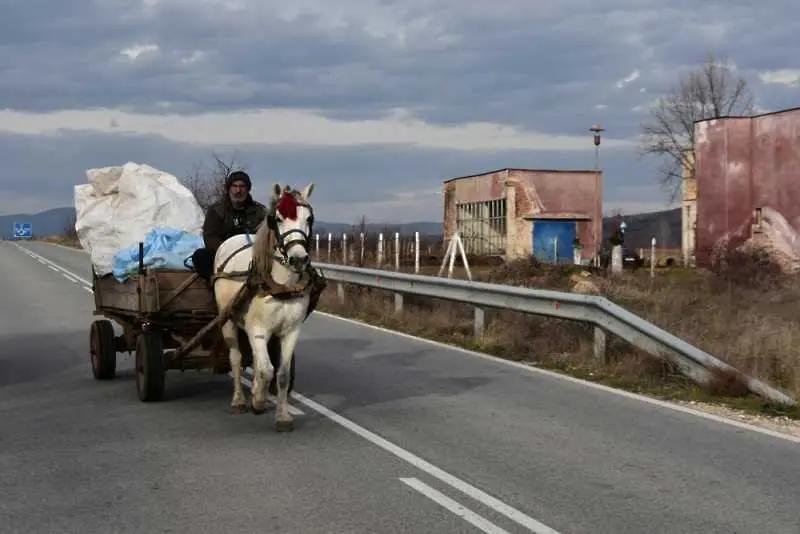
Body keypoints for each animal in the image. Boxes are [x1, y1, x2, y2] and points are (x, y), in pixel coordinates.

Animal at [212, 183, 316, 432]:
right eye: (277, 218)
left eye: (309, 218)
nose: (299, 259)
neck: (281, 285)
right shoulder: (257, 331)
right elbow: (266, 370)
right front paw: (258, 402)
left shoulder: (290, 332)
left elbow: (281, 374)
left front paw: (283, 417)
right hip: (228, 321)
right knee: (237, 358)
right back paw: (240, 400)